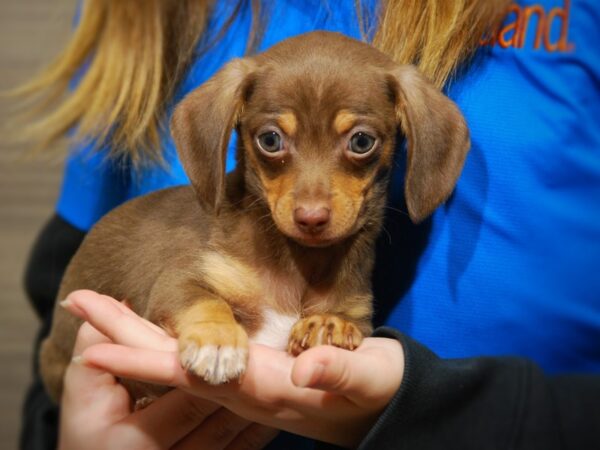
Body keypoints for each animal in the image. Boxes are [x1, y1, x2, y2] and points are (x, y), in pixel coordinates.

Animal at [38, 31, 468, 400]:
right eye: (270, 140)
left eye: (362, 142)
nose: (311, 218)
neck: (298, 261)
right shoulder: (176, 281)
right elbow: (207, 302)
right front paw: (217, 341)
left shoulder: (358, 309)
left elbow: (347, 320)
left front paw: (328, 323)